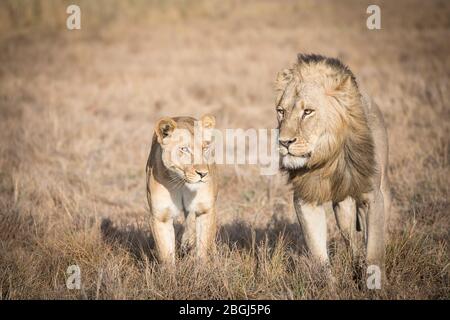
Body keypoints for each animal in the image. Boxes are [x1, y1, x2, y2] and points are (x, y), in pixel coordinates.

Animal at [146, 115, 218, 264]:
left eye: (205, 148)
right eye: (184, 149)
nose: (203, 174)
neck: (182, 184)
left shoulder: (205, 209)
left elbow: (202, 247)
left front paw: (202, 268)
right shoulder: (160, 216)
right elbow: (166, 254)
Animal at [274, 53, 390, 278]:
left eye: (307, 112)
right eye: (281, 111)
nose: (284, 142)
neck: (326, 158)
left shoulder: (372, 196)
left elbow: (374, 252)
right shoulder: (305, 200)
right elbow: (319, 256)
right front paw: (329, 284)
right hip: (342, 207)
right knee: (351, 241)